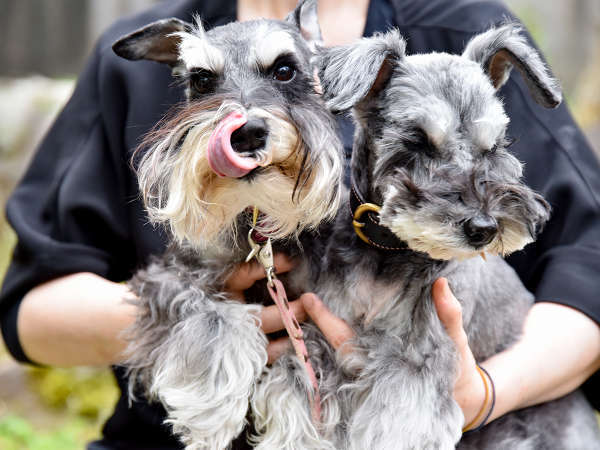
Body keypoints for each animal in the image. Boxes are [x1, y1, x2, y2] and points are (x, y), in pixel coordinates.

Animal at [110, 1, 344, 448]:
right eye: (201, 79)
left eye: (284, 70)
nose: (247, 133)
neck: (253, 217)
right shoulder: (169, 279)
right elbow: (215, 318)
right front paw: (211, 411)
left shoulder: (319, 310)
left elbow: (301, 371)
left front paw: (296, 434)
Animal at [251, 23, 600, 450]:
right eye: (416, 140)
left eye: (496, 145)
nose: (484, 229)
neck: (386, 252)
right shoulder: (311, 348)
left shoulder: (412, 372)